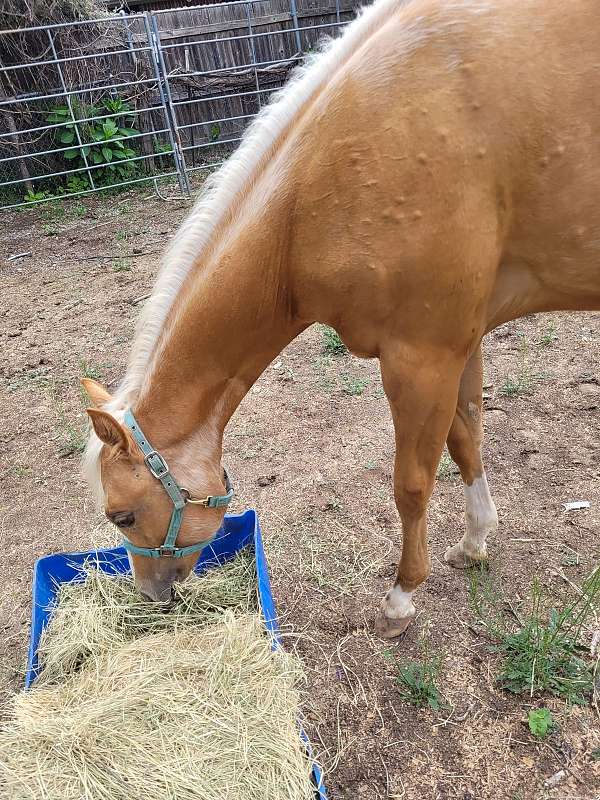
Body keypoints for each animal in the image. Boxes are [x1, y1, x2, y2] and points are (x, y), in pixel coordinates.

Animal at [82, 0, 600, 638]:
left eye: (123, 516)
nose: (151, 595)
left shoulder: (420, 360)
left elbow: (412, 484)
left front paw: (401, 599)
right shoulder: (460, 342)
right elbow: (467, 439)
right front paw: (476, 542)